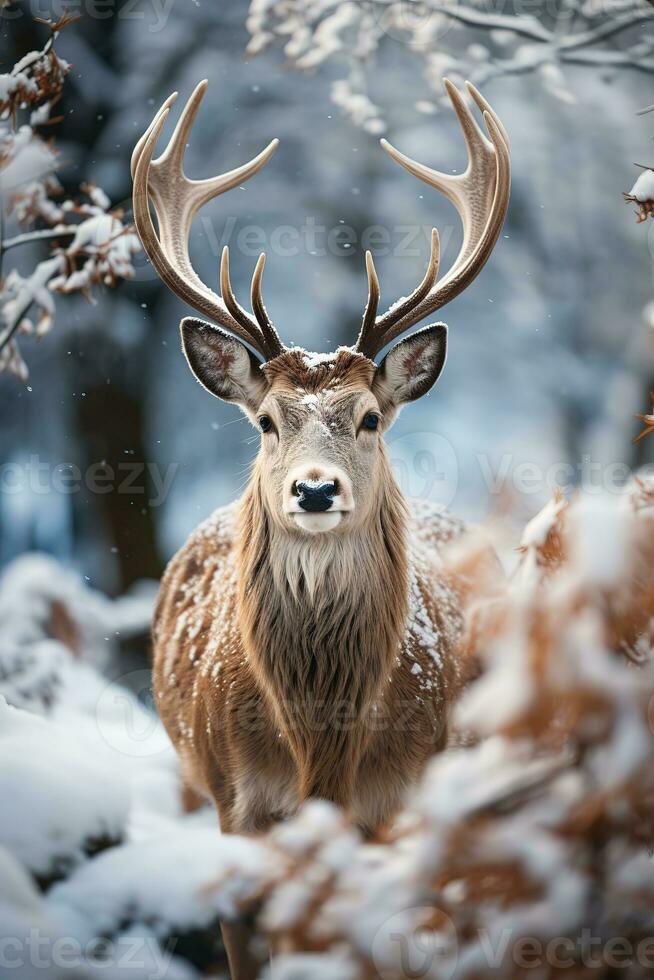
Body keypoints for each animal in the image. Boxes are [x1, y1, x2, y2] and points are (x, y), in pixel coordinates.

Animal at [132, 78, 512, 980]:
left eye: (370, 416)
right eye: (268, 420)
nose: (313, 489)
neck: (321, 749)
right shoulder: (237, 805)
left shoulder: (400, 800)